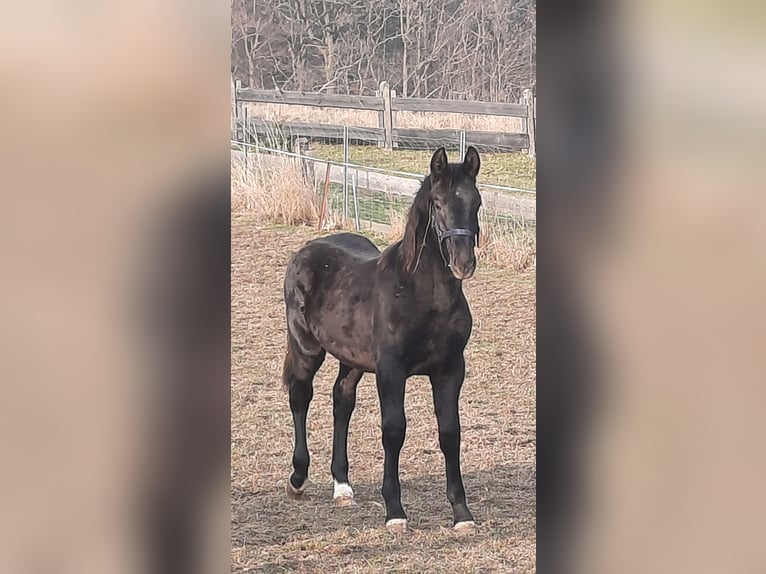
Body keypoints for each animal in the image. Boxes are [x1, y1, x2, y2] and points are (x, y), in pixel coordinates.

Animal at [282, 146, 482, 534]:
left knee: (341, 401)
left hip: (352, 359)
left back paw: (342, 486)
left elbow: (450, 433)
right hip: (306, 347)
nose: (463, 263)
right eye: (437, 203)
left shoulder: (451, 369)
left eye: (476, 202)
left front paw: (462, 514)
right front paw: (395, 511)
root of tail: (305, 250)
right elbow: (394, 430)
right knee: (300, 396)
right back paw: (297, 479)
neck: (421, 294)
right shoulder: (391, 370)